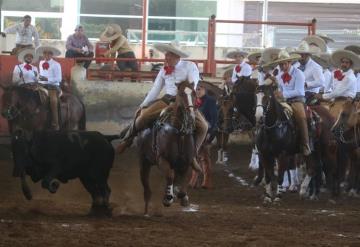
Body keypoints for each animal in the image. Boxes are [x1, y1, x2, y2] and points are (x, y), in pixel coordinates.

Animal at [136, 81, 195, 216]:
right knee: (147, 187)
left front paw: (182, 196)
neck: (179, 132)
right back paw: (146, 211)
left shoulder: (186, 162)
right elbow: (170, 176)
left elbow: (183, 178)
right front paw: (168, 198)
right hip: (143, 161)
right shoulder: (162, 160)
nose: (191, 114)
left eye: (194, 93)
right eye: (182, 94)